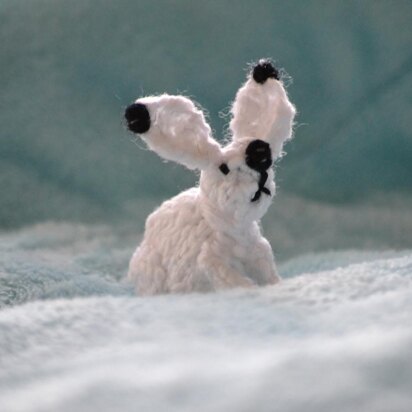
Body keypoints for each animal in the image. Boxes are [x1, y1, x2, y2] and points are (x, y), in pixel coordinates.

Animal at [124, 59, 294, 294]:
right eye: (224, 168)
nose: (259, 153)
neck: (232, 230)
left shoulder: (256, 250)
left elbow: (267, 270)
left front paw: (275, 284)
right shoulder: (212, 259)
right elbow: (229, 277)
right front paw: (249, 289)